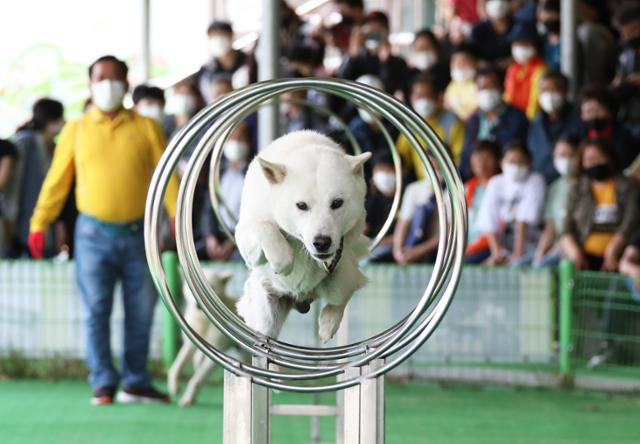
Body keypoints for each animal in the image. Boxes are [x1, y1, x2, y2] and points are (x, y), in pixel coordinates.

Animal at [168, 268, 248, 408]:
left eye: (212, 287)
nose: (197, 305)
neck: (204, 321)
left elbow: (196, 379)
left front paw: (187, 398)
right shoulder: (189, 345)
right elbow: (176, 366)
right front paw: (174, 387)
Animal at [234, 130, 370, 342]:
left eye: (337, 203)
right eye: (301, 205)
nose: (322, 242)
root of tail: (303, 300)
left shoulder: (358, 220)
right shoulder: (249, 226)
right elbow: (263, 227)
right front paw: (283, 263)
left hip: (339, 281)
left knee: (345, 291)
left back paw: (327, 325)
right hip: (266, 304)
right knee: (263, 323)